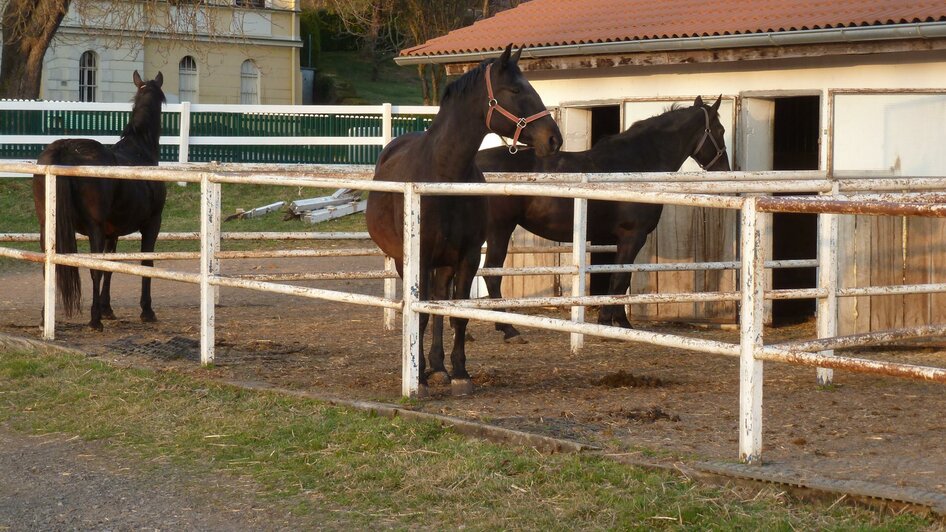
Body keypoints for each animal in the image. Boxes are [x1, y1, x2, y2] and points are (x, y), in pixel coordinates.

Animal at [30, 68, 168, 330]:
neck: (140, 149)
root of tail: (64, 148)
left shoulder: (111, 232)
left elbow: (110, 267)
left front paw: (107, 308)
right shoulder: (152, 223)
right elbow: (146, 264)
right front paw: (147, 310)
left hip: (46, 226)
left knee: (46, 265)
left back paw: (45, 318)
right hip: (93, 228)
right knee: (93, 269)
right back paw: (94, 320)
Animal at [366, 44, 560, 394]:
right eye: (515, 90)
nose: (554, 139)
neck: (443, 175)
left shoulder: (467, 257)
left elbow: (457, 315)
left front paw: (458, 373)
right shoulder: (421, 259)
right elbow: (421, 315)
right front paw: (418, 377)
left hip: (445, 264)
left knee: (440, 305)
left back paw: (439, 366)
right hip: (407, 262)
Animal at [480, 95, 732, 340]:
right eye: (720, 130)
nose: (724, 170)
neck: (637, 165)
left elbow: (621, 278)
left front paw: (618, 323)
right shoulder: (633, 236)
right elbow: (619, 279)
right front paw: (610, 324)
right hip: (499, 228)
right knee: (492, 273)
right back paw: (509, 329)